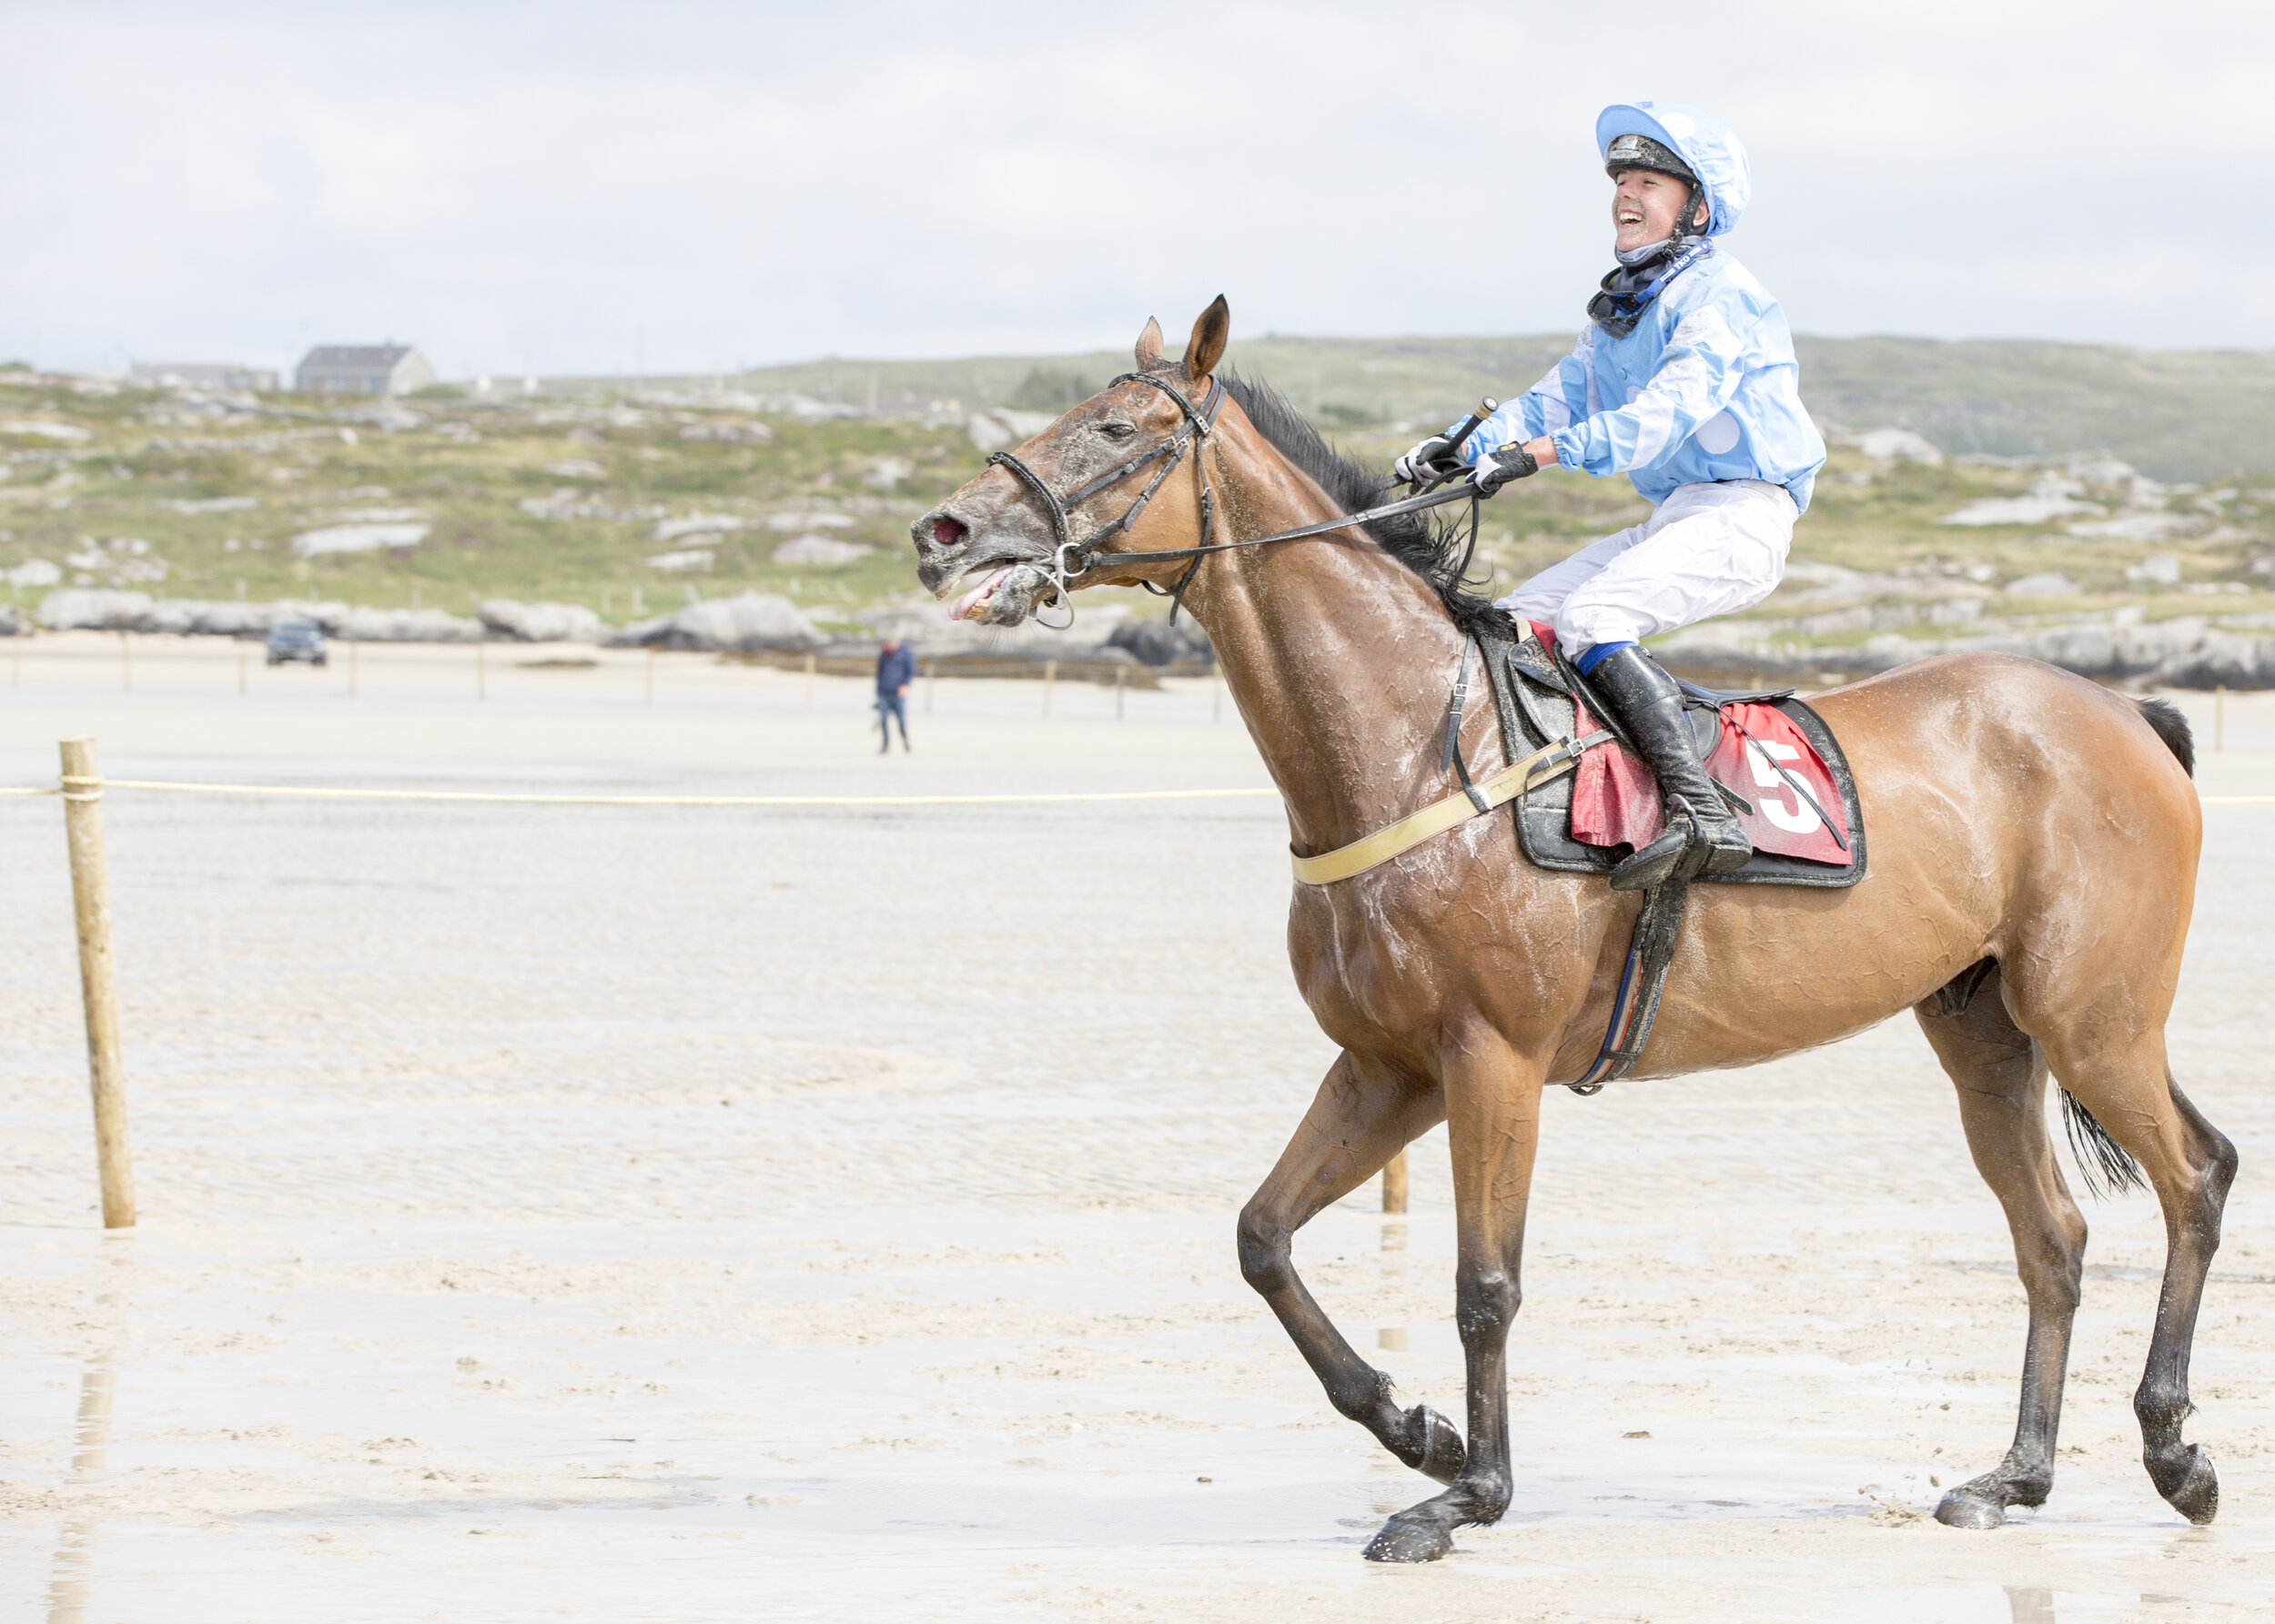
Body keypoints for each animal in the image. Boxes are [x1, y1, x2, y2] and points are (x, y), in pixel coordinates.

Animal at [910, 298, 2239, 1547]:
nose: (943, 532)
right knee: (2054, 1237)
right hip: (1984, 1033)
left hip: (2094, 1018)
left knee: (2195, 1176)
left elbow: (1483, 1283)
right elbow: (1263, 1237)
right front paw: (1418, 1431)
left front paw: (1468, 1495)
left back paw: (2176, 1453)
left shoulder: (1489, 1062)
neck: (1415, 743)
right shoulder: (1387, 1066)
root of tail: (2124, 712)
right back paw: (2015, 1477)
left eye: (1116, 428)